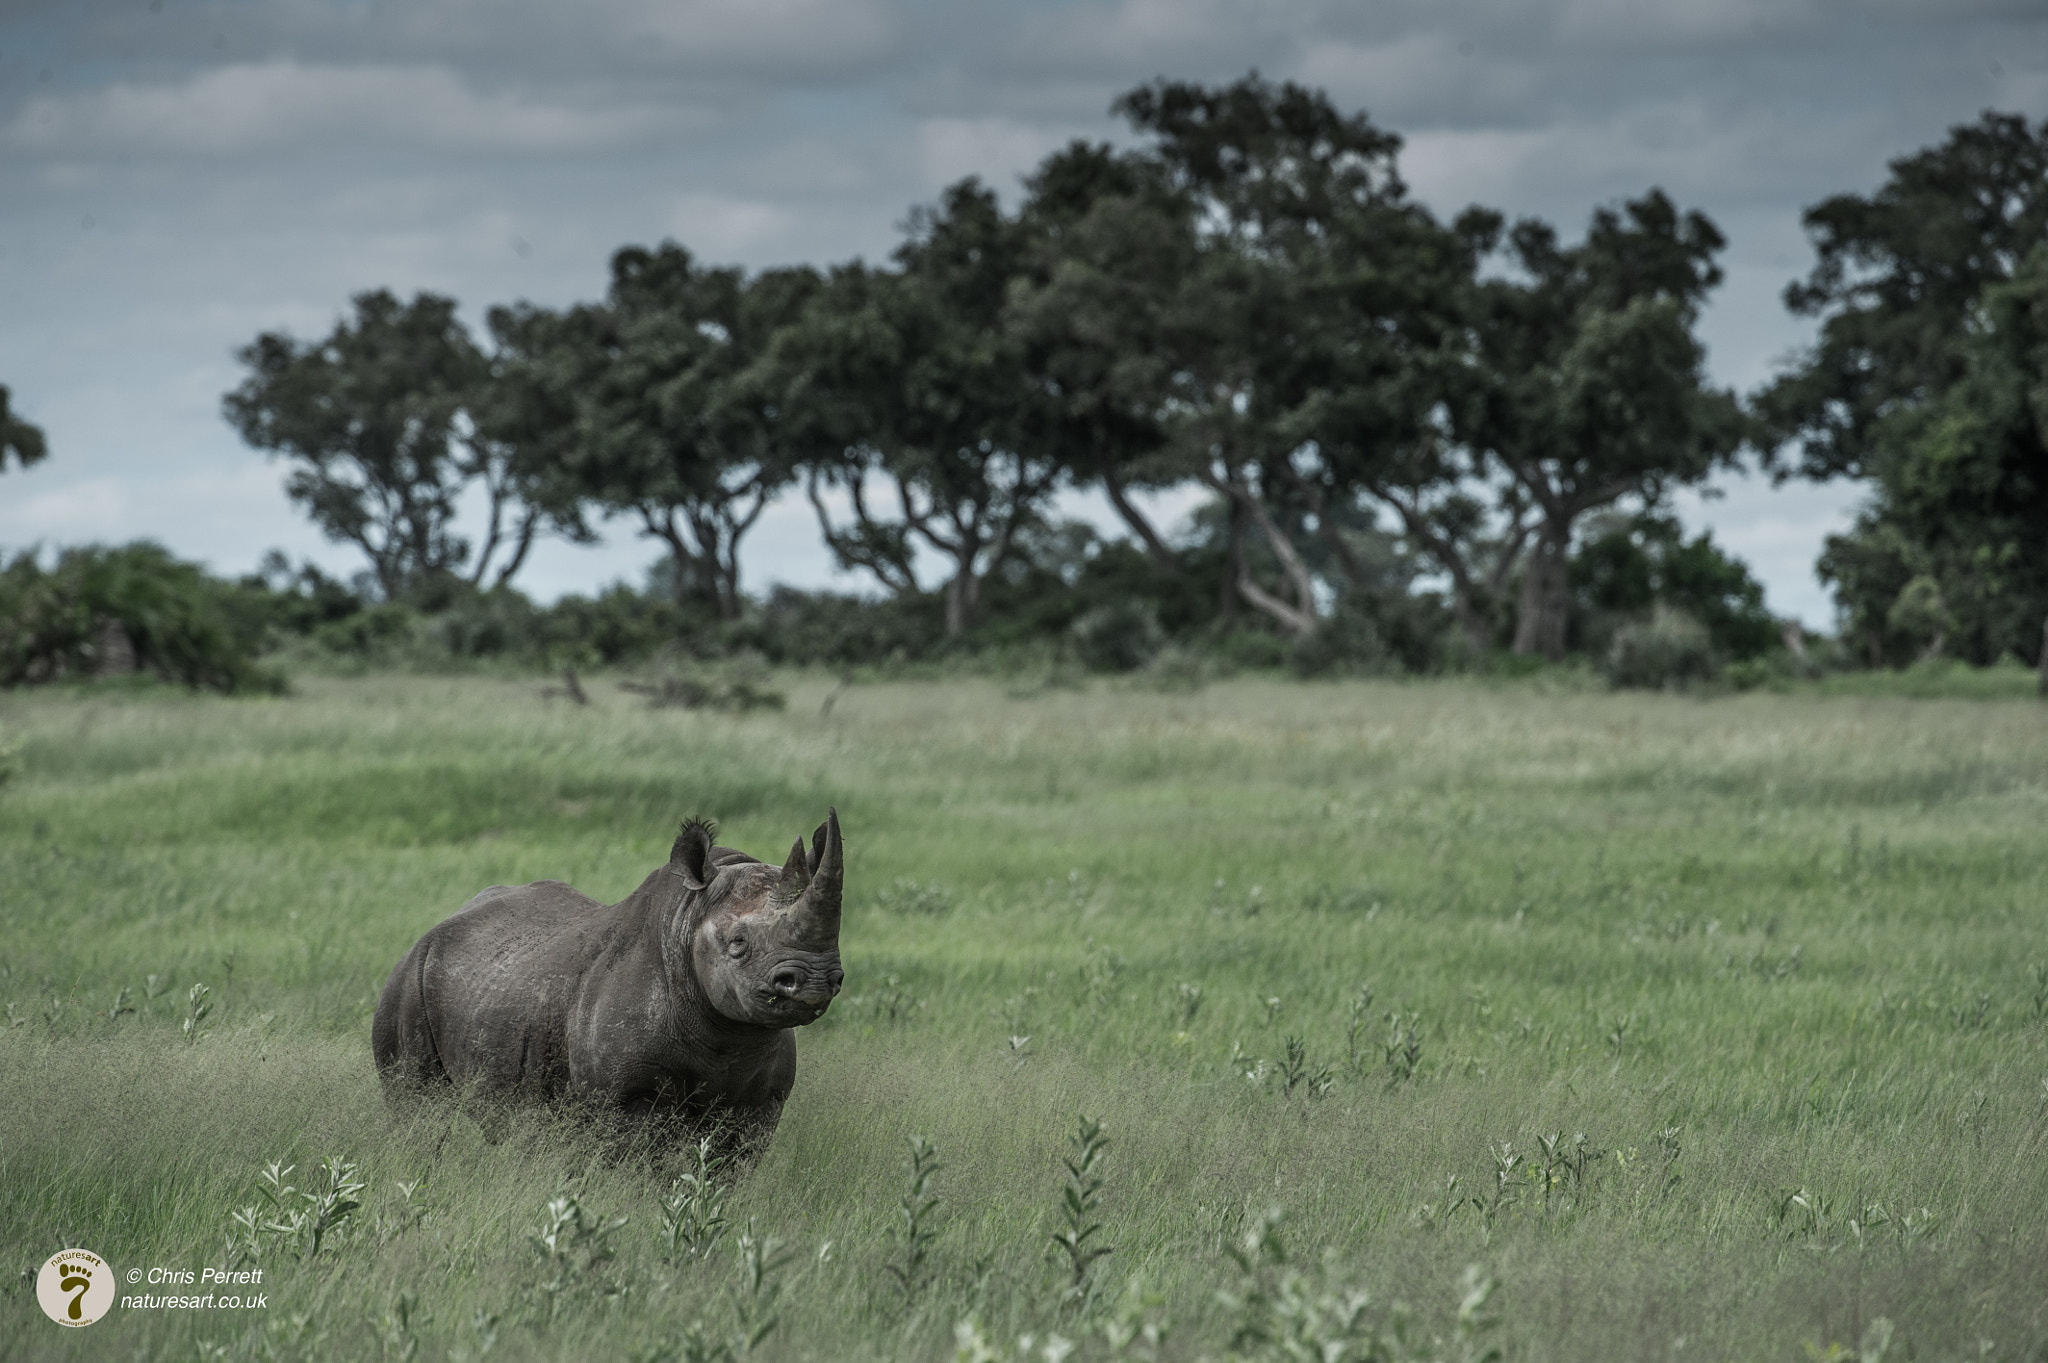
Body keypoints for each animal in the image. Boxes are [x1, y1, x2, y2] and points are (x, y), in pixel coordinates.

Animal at [372, 806, 843, 1146]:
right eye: (738, 943)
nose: (817, 980)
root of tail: (437, 927)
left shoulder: (762, 1102)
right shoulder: (627, 1096)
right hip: (410, 979)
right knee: (418, 1108)